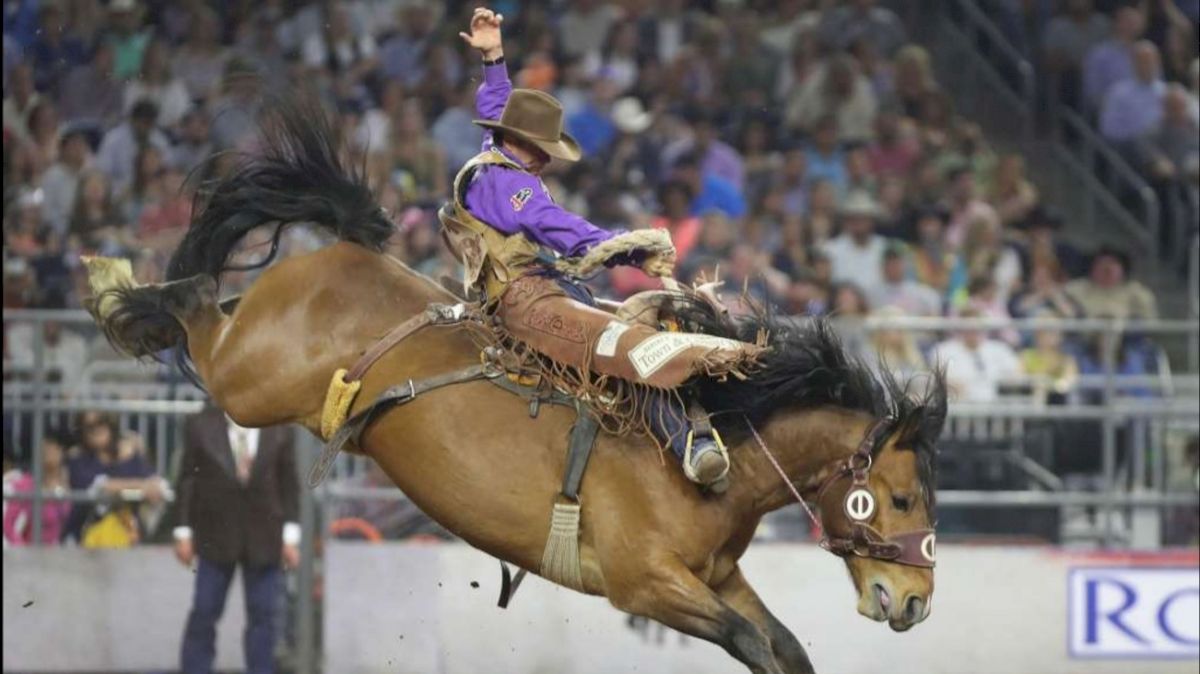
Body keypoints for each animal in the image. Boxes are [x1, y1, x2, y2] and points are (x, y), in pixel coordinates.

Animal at [84, 99, 945, 671]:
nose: (914, 603)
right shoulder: (646, 584)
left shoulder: (719, 577)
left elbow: (784, 646)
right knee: (194, 300)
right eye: (901, 498)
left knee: (208, 296)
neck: (720, 445)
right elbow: (753, 646)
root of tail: (337, 256)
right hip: (245, 384)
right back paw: (116, 288)